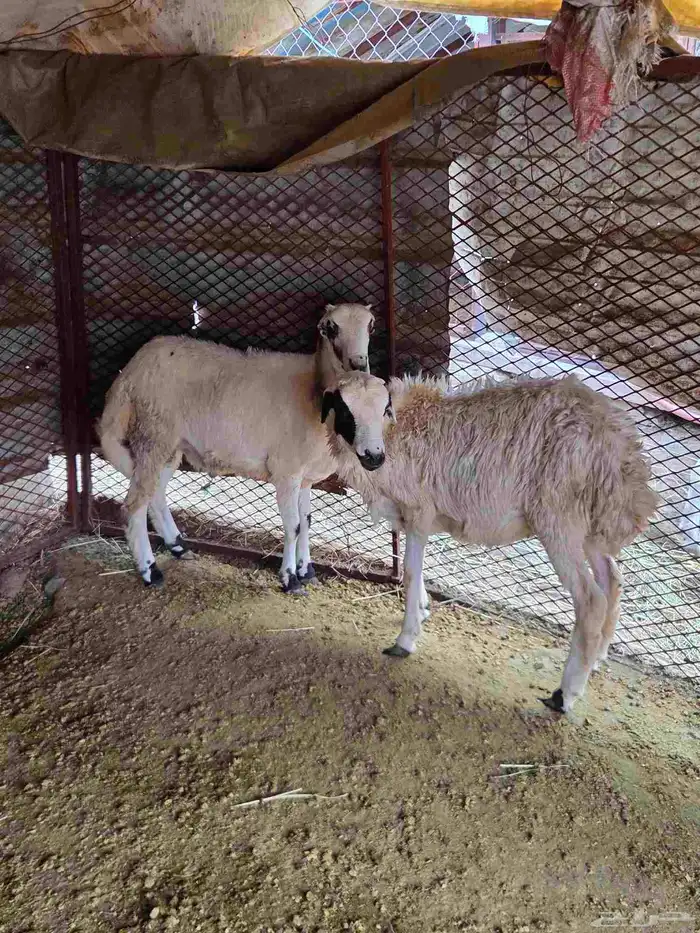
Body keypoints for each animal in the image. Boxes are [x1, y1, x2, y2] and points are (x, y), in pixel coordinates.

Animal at [98, 302, 375, 592]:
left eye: (371, 325)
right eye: (330, 328)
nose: (358, 363)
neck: (313, 389)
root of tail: (129, 373)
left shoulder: (305, 477)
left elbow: (307, 522)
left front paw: (306, 570)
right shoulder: (286, 470)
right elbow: (294, 525)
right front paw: (290, 579)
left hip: (171, 445)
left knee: (156, 494)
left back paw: (178, 546)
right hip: (153, 434)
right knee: (134, 505)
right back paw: (150, 571)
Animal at [321, 371, 659, 712]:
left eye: (384, 408)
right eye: (345, 410)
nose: (374, 457)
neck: (399, 430)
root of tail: (620, 446)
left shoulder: (419, 511)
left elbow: (411, 572)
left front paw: (406, 638)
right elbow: (418, 572)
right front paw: (423, 608)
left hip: (558, 520)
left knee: (591, 600)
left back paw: (565, 694)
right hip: (589, 526)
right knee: (612, 580)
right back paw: (597, 658)